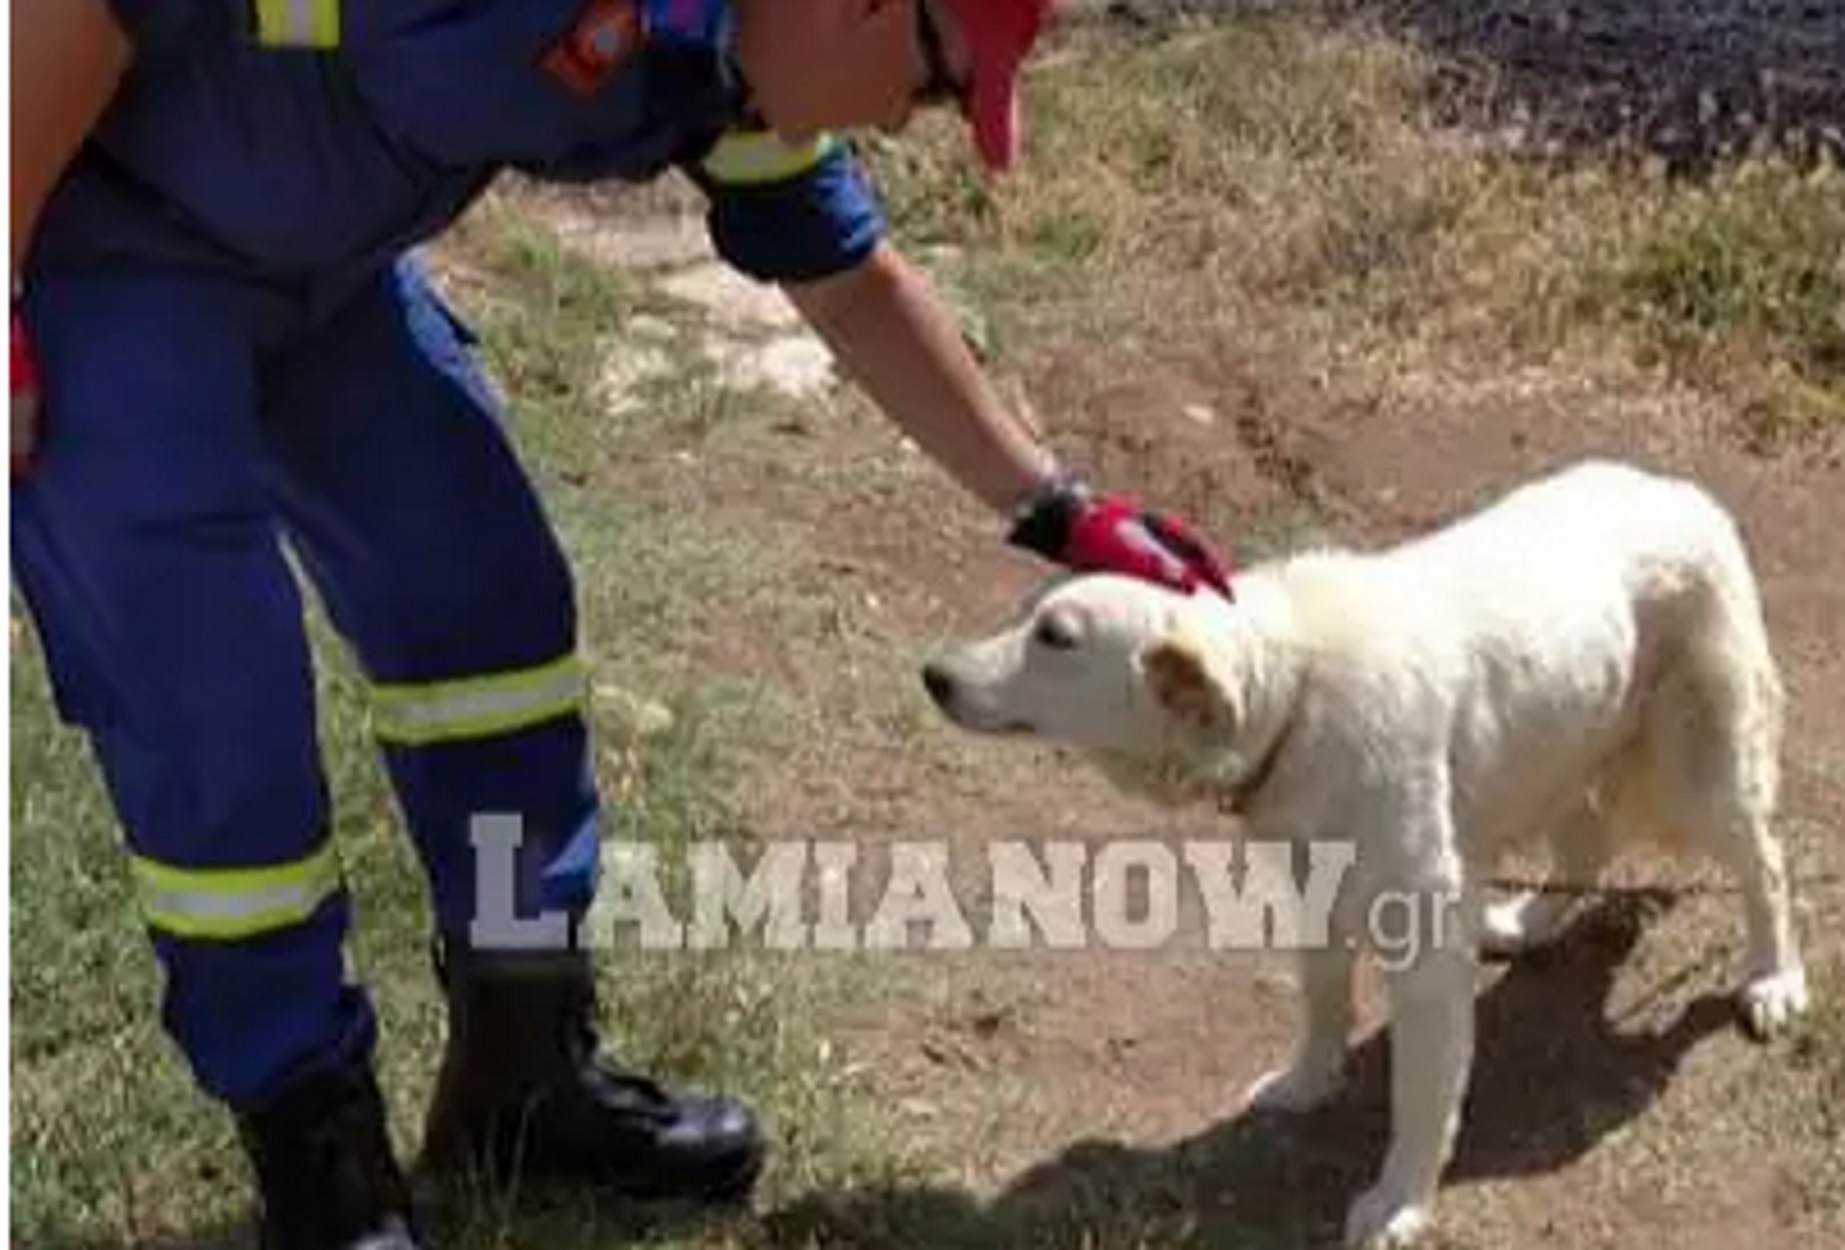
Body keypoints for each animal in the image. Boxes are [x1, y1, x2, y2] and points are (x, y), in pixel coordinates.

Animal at [922, 462, 1800, 1250]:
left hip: (1699, 774)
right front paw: (1306, 1084)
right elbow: (1321, 1007)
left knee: (1766, 864)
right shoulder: (1317, 889)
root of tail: (1684, 492)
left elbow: (1420, 1100)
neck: (1295, 692)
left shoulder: (1424, 956)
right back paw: (1529, 922)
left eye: (1056, 638)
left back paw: (1772, 980)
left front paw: (1399, 1202)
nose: (932, 674)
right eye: (1024, 614)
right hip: (1554, 750)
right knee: (1585, 839)